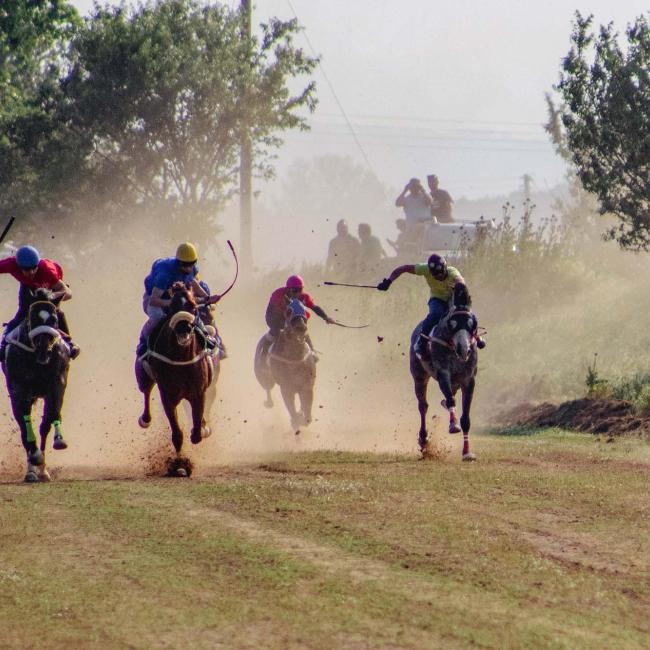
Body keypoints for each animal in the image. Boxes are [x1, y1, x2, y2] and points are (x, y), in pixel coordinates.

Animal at [2, 288, 71, 482]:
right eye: (32, 317)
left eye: (54, 319)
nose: (43, 351)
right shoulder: (18, 391)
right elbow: (26, 429)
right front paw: (34, 462)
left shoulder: (57, 385)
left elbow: (48, 421)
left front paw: (58, 441)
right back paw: (32, 469)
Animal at [135, 283, 218, 476]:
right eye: (172, 307)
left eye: (193, 306)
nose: (183, 329)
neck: (182, 359)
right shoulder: (168, 395)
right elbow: (177, 434)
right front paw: (180, 466)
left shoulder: (199, 392)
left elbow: (196, 430)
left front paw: (200, 430)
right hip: (144, 377)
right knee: (146, 391)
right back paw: (145, 419)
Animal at [254, 298, 317, 430]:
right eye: (289, 311)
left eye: (305, 310)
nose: (301, 328)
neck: (294, 357)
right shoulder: (286, 388)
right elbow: (291, 409)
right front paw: (296, 420)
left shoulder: (306, 386)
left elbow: (307, 408)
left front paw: (303, 417)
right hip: (264, 378)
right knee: (267, 388)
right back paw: (269, 402)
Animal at [410, 284, 479, 461]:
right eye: (452, 324)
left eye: (471, 324)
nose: (463, 349)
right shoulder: (443, 374)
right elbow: (450, 400)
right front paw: (453, 424)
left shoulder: (469, 380)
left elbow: (466, 419)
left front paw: (467, 452)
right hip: (419, 376)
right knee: (423, 406)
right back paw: (423, 439)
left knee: (445, 399)